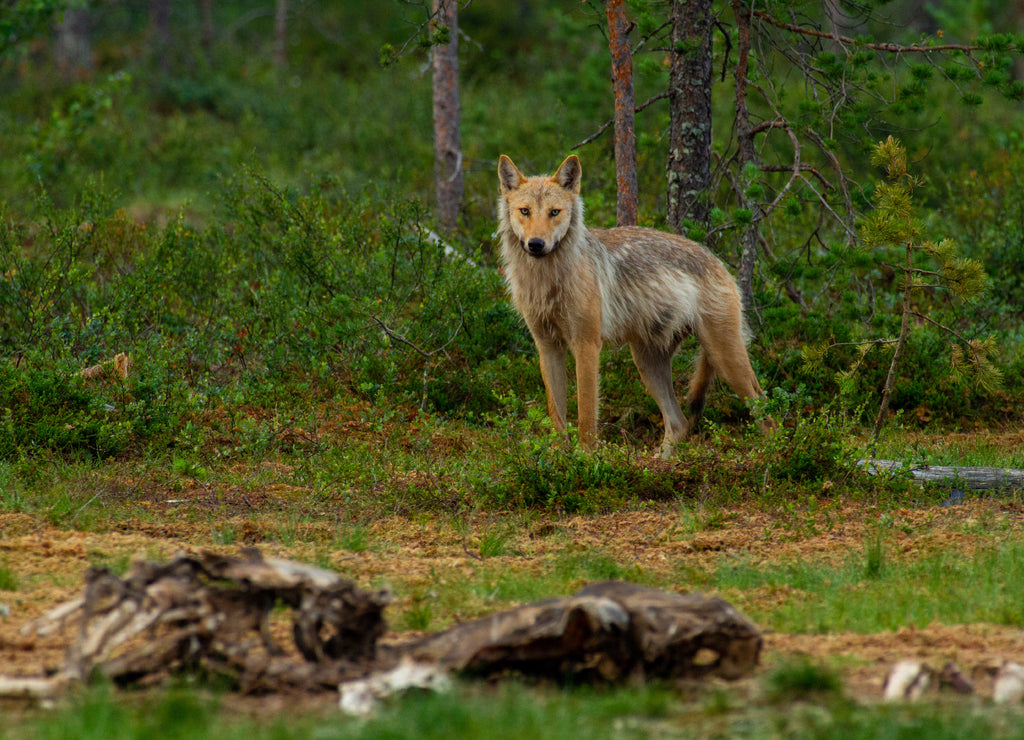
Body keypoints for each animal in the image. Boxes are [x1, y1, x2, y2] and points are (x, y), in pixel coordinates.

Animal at [497, 154, 770, 458]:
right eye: (525, 211)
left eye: (554, 212)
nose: (536, 244)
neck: (547, 280)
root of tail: (718, 262)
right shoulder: (547, 346)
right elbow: (556, 413)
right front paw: (558, 457)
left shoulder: (587, 345)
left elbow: (586, 415)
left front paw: (585, 460)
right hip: (647, 363)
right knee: (679, 423)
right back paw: (661, 463)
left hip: (725, 361)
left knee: (765, 411)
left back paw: (775, 453)